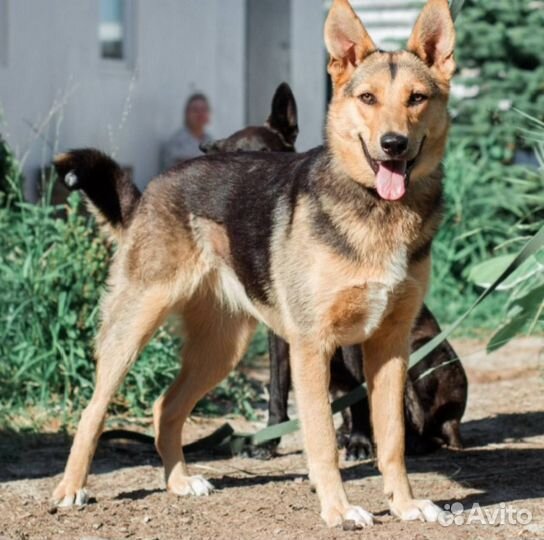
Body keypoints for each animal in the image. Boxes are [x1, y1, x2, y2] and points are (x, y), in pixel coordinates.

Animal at [54, 0, 454, 528]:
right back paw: (71, 487)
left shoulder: (388, 346)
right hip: (133, 329)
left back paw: (179, 481)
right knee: (95, 411)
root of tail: (153, 188)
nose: (393, 144)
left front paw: (404, 504)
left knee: (165, 408)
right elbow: (322, 441)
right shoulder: (311, 347)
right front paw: (338, 509)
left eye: (417, 98)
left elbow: (391, 439)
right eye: (368, 98)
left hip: (222, 349)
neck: (376, 208)